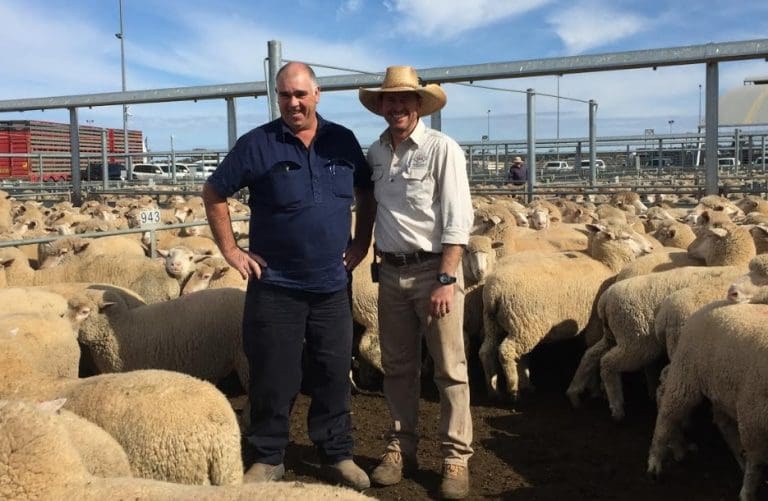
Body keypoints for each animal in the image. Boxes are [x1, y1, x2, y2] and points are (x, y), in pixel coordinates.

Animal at [480, 221, 654, 400]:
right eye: (626, 237)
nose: (651, 247)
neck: (606, 263)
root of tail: (494, 292)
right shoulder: (595, 323)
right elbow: (591, 349)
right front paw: (594, 390)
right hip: (526, 324)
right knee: (506, 351)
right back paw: (513, 389)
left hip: (493, 322)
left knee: (487, 351)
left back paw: (494, 390)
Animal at [567, 221, 757, 419]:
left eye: (706, 235)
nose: (688, 249)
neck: (734, 265)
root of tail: (606, 298)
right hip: (637, 341)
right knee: (609, 363)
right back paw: (617, 408)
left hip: (616, 335)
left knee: (591, 354)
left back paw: (576, 392)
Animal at [647, 301, 768, 501]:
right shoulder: (752, 417)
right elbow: (756, 463)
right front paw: (747, 493)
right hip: (687, 373)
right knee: (667, 412)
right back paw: (656, 461)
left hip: (722, 385)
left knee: (724, 424)